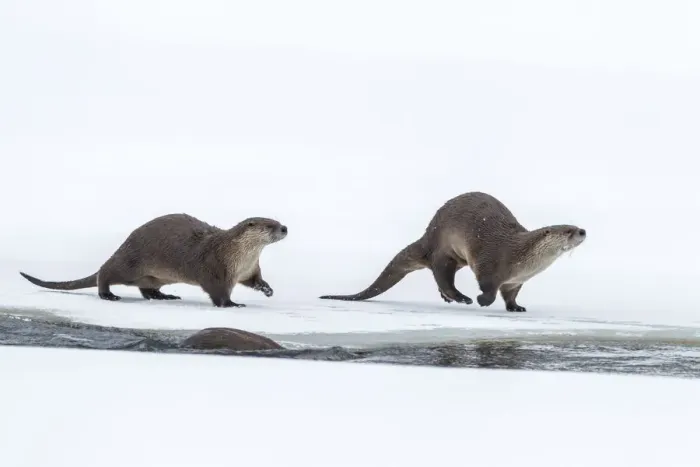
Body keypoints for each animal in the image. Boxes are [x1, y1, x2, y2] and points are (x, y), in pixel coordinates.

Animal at [19, 214, 288, 308]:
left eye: (278, 220)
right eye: (269, 225)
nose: (285, 228)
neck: (236, 254)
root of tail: (125, 244)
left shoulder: (249, 269)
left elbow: (255, 281)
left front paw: (268, 289)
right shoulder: (215, 269)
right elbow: (217, 292)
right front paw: (231, 304)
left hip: (154, 275)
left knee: (146, 289)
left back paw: (164, 296)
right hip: (130, 263)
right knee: (104, 272)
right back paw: (108, 295)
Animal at [319, 191, 586, 312]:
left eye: (575, 227)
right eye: (568, 230)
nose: (583, 230)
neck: (523, 260)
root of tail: (428, 236)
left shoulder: (515, 282)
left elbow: (510, 296)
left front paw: (516, 308)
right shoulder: (492, 265)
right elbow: (488, 288)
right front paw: (481, 301)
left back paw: (449, 298)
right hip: (443, 250)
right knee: (442, 275)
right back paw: (461, 298)